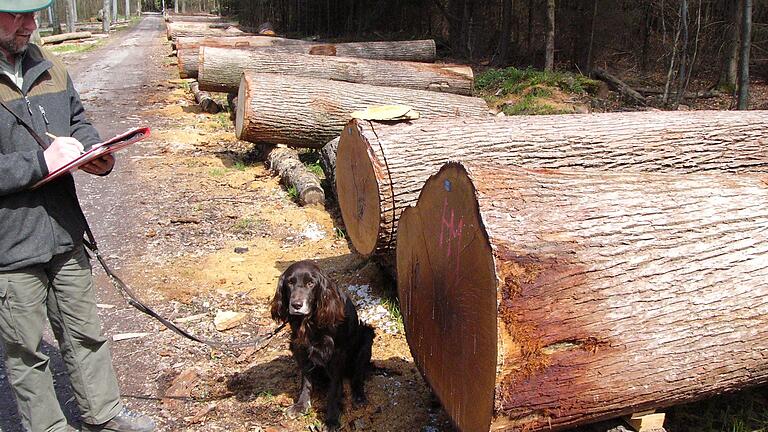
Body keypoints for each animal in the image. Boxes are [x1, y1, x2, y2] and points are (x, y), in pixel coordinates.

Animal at [272, 262, 376, 430]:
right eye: (290, 282)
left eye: (311, 283)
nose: (296, 305)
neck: (310, 321)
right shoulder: (301, 347)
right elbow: (306, 381)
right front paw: (301, 405)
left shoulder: (336, 353)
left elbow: (334, 388)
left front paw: (332, 418)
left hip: (366, 337)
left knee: (358, 374)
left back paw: (359, 396)